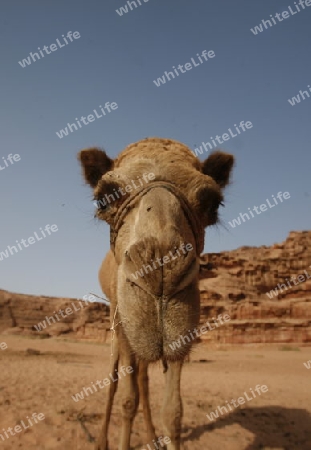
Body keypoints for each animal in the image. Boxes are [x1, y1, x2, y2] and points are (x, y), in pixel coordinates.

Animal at [78, 137, 234, 450]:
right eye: (104, 197)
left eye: (213, 202)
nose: (160, 272)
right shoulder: (124, 325)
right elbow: (127, 401)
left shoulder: (182, 335)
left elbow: (173, 412)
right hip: (115, 320)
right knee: (115, 377)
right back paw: (101, 441)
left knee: (143, 379)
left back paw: (151, 436)